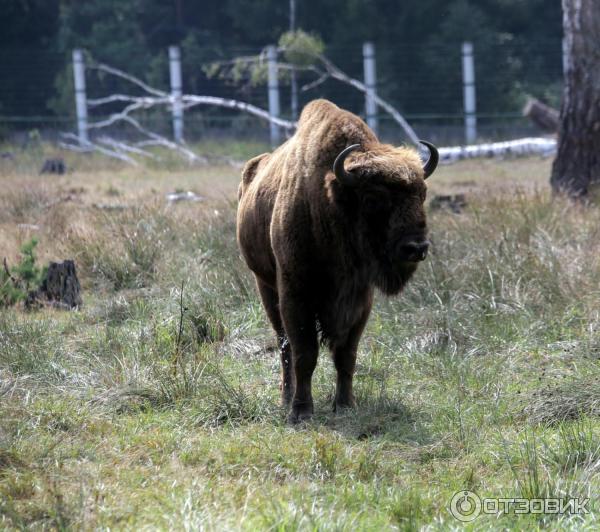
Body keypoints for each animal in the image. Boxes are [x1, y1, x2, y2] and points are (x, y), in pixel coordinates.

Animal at [237, 98, 438, 424]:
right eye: (373, 198)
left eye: (422, 194)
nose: (416, 248)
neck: (330, 201)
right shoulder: (295, 293)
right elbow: (304, 353)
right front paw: (301, 411)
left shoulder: (361, 299)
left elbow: (346, 355)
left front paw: (345, 405)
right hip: (265, 286)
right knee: (283, 346)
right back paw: (286, 397)